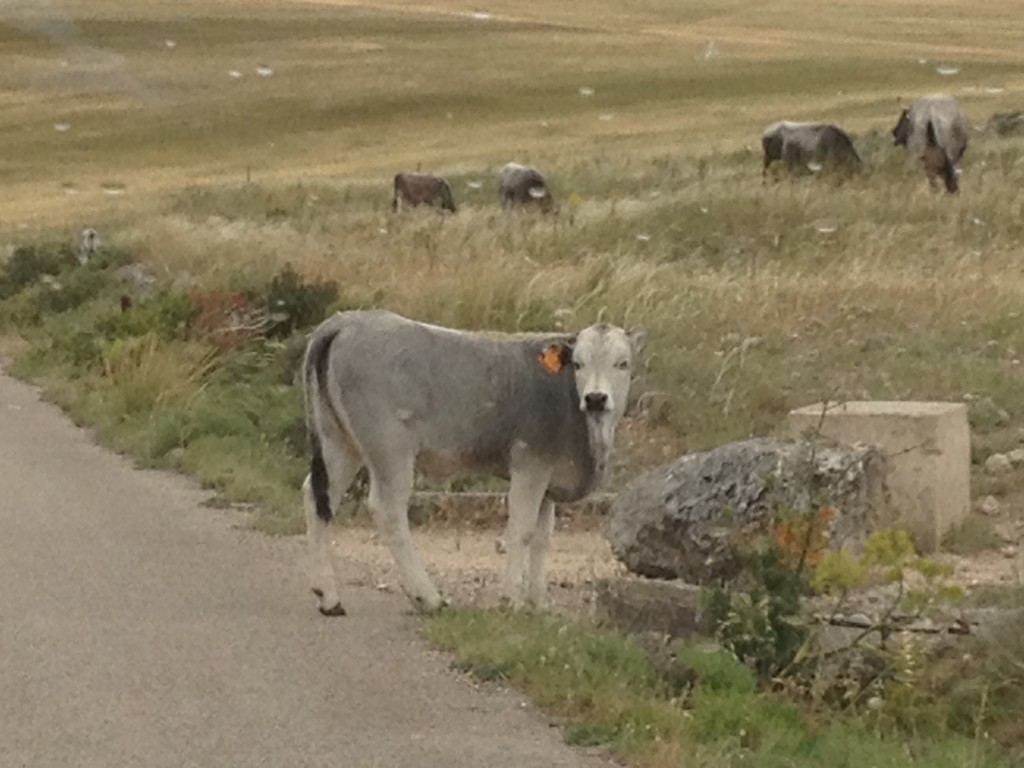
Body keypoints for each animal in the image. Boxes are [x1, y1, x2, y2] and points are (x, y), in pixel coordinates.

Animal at [299, 309, 643, 618]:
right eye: (578, 363)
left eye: (622, 363)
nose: (596, 398)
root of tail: (346, 320)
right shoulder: (529, 466)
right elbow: (521, 530)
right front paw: (512, 601)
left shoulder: (549, 477)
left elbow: (542, 538)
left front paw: (539, 602)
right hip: (390, 449)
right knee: (388, 511)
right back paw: (429, 598)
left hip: (339, 444)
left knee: (318, 498)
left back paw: (328, 597)